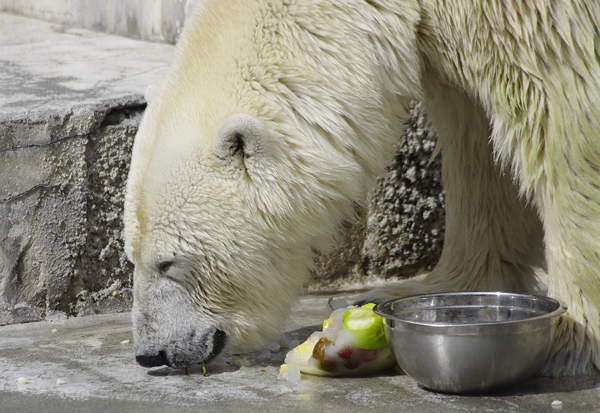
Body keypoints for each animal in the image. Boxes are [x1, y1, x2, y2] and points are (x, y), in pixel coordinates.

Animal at [124, 0, 600, 374]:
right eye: (133, 257)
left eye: (168, 262)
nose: (151, 354)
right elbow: (473, 135)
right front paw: (423, 288)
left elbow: (563, 115)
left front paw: (570, 339)